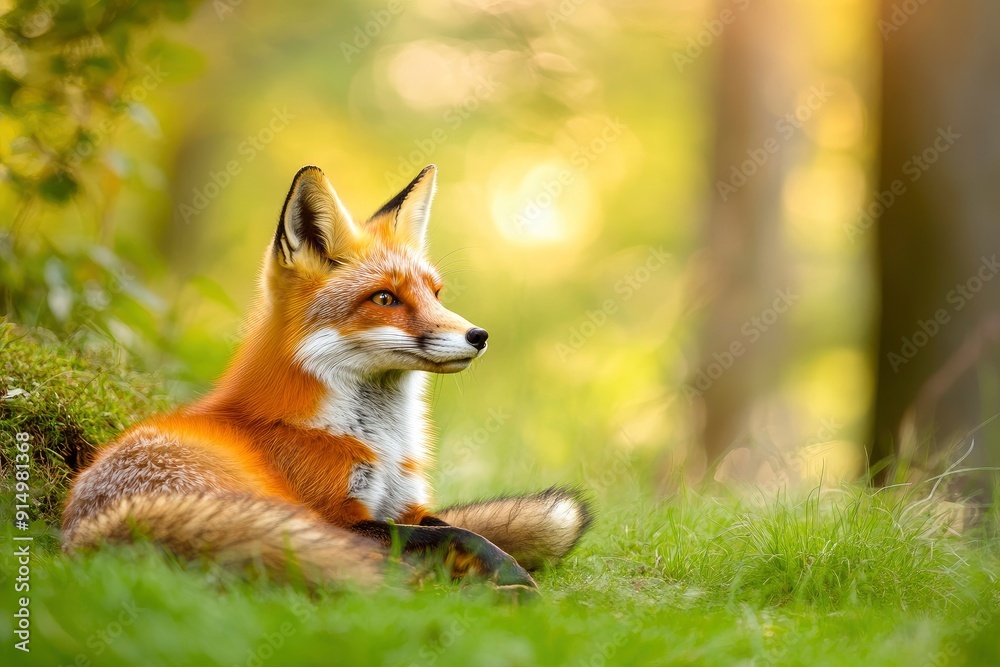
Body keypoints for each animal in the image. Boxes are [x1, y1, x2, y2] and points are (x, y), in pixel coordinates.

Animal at [61, 164, 592, 590]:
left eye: (436, 293)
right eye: (384, 299)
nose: (478, 336)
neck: (381, 445)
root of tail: (86, 527)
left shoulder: (402, 505)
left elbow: (457, 527)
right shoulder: (339, 515)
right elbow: (460, 533)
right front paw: (511, 575)